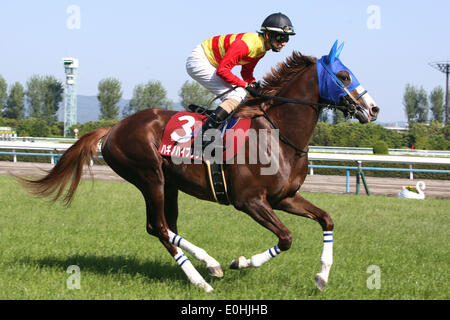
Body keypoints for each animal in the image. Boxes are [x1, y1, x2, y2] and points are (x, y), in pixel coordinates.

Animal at [21, 42, 380, 292]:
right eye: (344, 76)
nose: (373, 108)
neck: (278, 134)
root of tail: (113, 128)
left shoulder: (283, 198)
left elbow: (326, 219)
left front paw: (321, 277)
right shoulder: (249, 201)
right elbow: (287, 237)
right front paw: (241, 261)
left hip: (170, 184)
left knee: (163, 227)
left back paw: (207, 266)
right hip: (149, 177)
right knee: (160, 227)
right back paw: (204, 278)